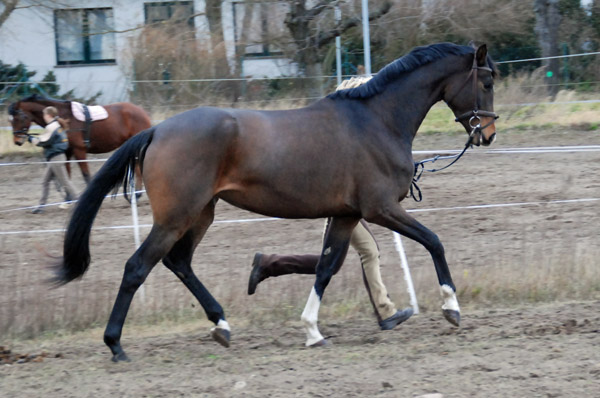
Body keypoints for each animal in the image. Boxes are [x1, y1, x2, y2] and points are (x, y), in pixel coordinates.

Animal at [8, 95, 151, 186]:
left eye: (19, 118)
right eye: (11, 120)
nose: (17, 141)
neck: (64, 118)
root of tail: (142, 112)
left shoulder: (79, 150)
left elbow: (86, 174)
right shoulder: (67, 152)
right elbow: (67, 174)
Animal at [55, 42, 496, 360]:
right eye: (488, 81)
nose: (487, 134)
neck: (377, 121)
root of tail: (157, 130)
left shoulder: (347, 215)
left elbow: (326, 268)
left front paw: (313, 331)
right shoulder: (381, 208)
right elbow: (434, 241)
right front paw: (451, 308)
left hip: (201, 214)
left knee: (178, 262)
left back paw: (221, 325)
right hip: (176, 217)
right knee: (137, 267)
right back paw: (116, 345)